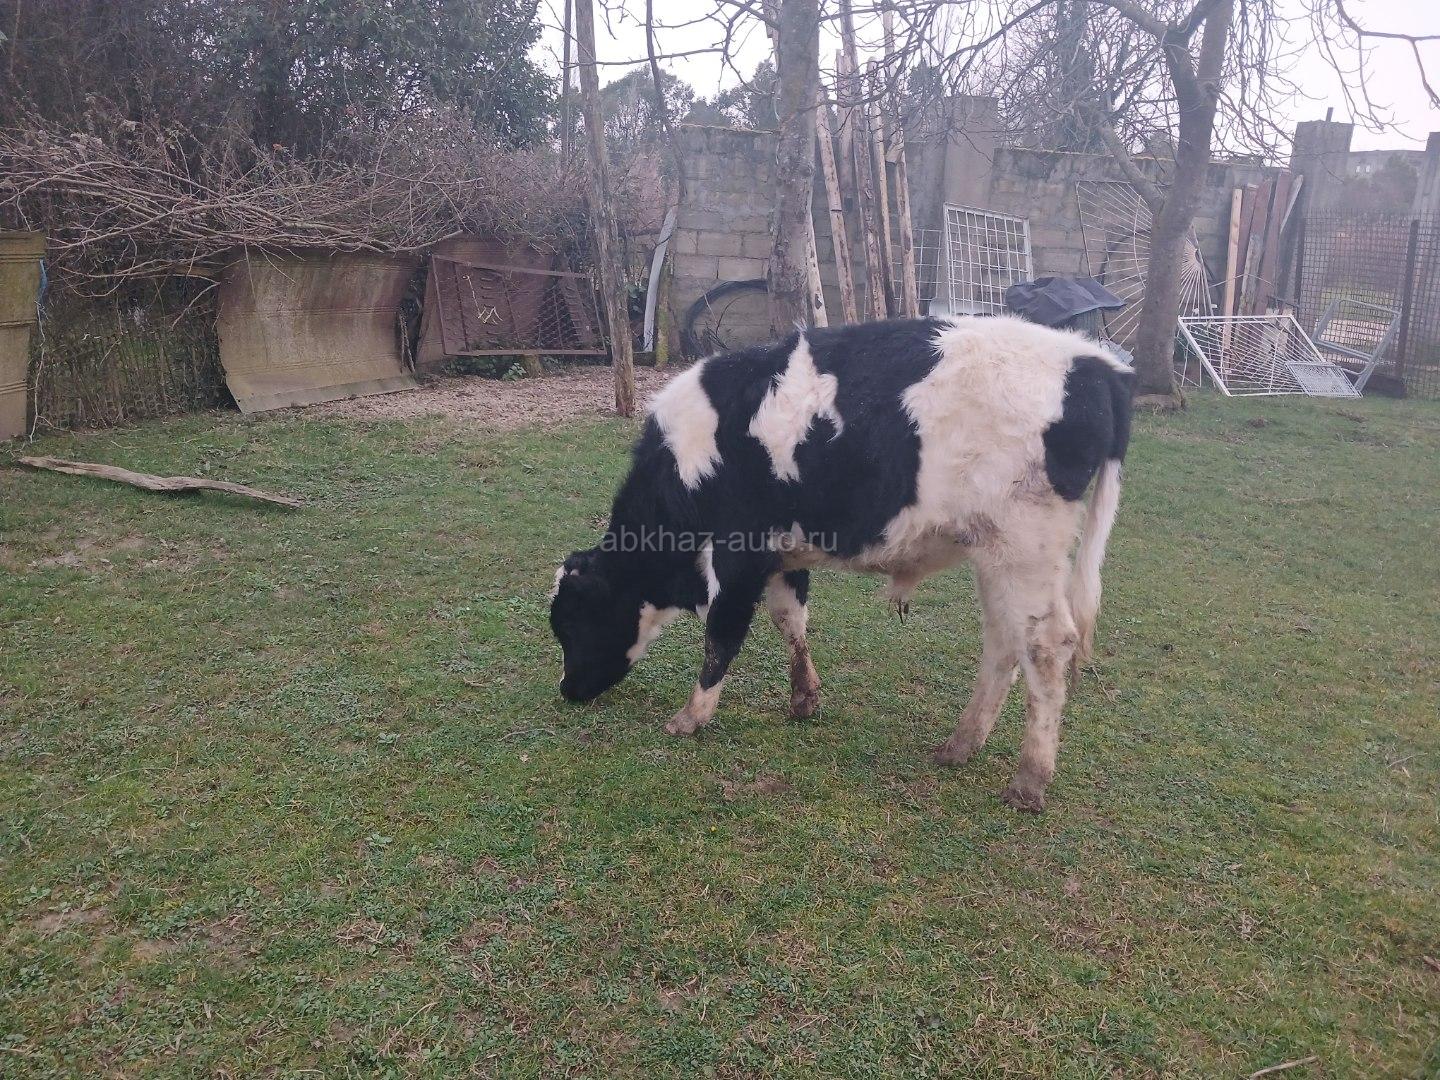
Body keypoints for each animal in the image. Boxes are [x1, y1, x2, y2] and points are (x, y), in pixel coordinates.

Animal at [549, 315, 1133, 812]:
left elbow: (721, 637)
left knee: (1046, 645)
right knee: (1003, 640)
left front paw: (690, 717)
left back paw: (1029, 780)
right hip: (995, 555)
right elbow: (791, 620)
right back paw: (960, 745)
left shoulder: (737, 556)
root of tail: (1094, 361)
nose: (567, 690)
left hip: (1025, 546)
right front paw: (804, 698)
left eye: (572, 622)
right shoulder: (780, 556)